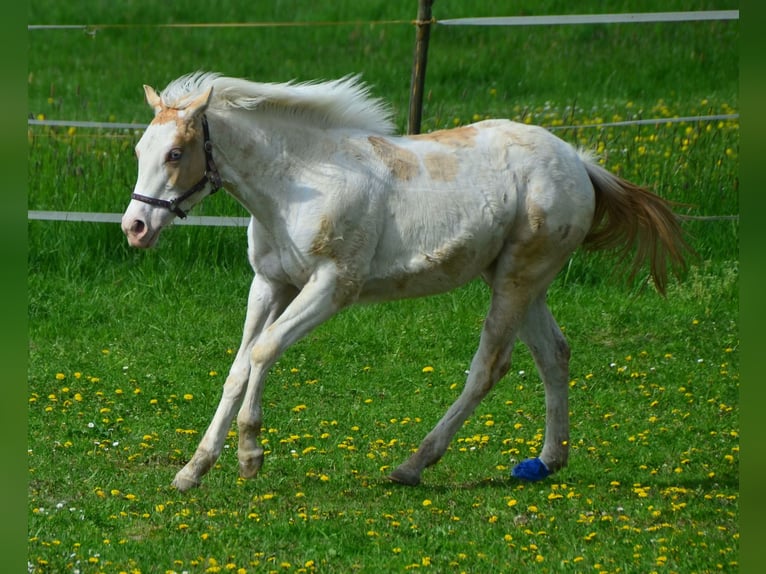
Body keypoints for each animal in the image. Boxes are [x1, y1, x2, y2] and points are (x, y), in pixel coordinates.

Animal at [121, 72, 688, 491]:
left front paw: (249, 455)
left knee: (489, 368)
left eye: (176, 153)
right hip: (522, 282)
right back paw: (545, 462)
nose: (135, 227)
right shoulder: (270, 284)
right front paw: (193, 470)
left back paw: (413, 465)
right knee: (555, 354)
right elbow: (238, 367)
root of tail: (581, 163)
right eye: (139, 151)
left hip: (517, 280)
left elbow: (264, 350)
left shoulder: (333, 287)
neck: (299, 183)